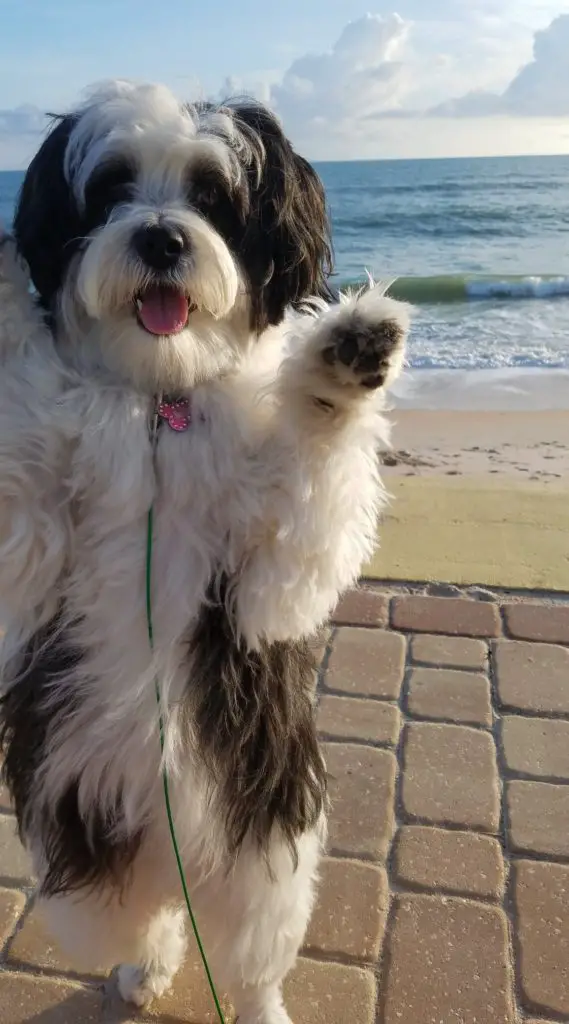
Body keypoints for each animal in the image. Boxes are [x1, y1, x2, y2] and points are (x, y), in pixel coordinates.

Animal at [0, 81, 409, 1024]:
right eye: (111, 189)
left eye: (212, 197)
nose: (160, 237)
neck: (160, 405)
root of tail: (164, 856)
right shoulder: (32, 554)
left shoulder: (267, 583)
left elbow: (310, 489)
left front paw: (339, 363)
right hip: (81, 871)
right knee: (141, 923)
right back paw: (144, 969)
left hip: (264, 857)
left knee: (250, 957)